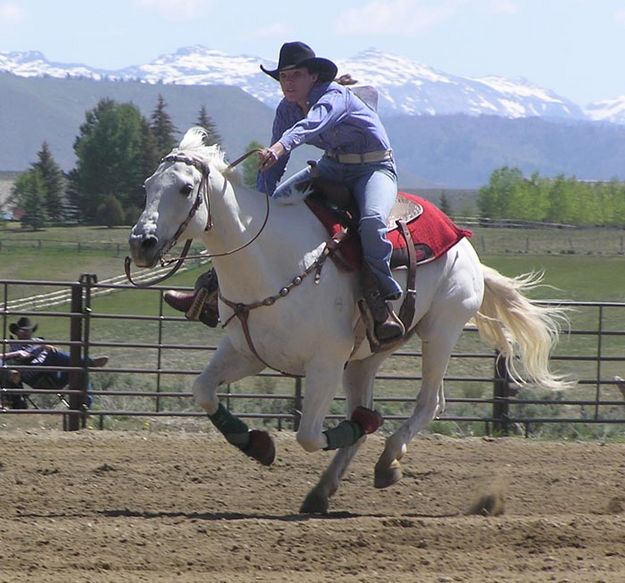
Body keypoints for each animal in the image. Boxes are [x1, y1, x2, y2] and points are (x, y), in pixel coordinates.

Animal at [129, 129, 568, 516]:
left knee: (429, 403)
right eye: (147, 185)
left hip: (440, 330)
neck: (273, 260)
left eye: (185, 188)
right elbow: (203, 391)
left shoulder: (324, 364)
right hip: (365, 358)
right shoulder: (245, 352)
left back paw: (387, 460)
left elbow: (308, 435)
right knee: (374, 404)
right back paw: (323, 490)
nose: (141, 243)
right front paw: (256, 444)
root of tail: (463, 243)